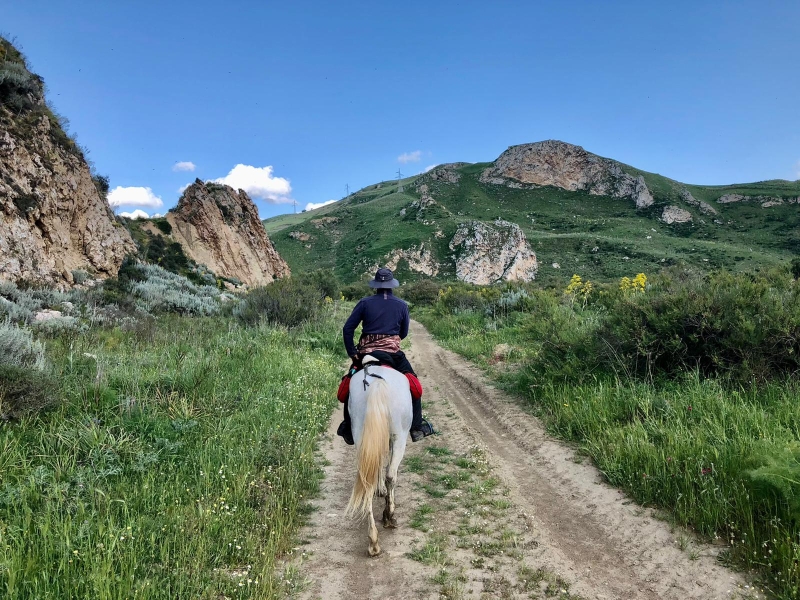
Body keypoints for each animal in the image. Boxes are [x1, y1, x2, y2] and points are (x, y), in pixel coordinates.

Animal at [346, 354, 412, 556]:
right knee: (391, 475)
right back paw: (389, 517)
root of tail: (376, 383)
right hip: (400, 437)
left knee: (366, 481)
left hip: (361, 435)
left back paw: (373, 541)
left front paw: (380, 489)